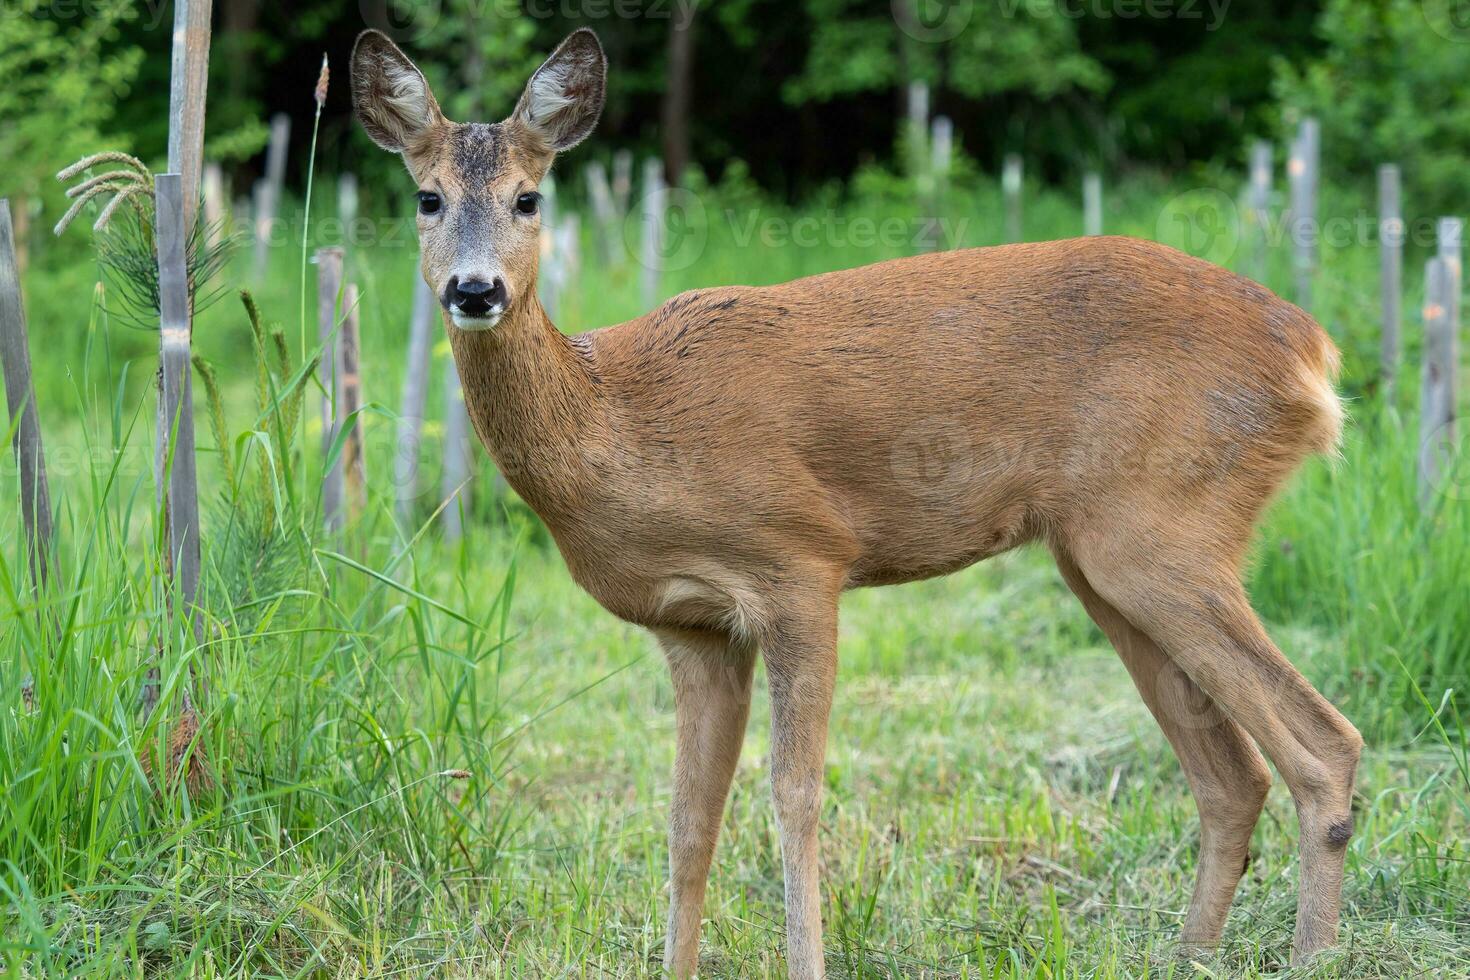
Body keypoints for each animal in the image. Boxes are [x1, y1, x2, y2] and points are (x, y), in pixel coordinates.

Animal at [349, 26, 1358, 975]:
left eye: (530, 198)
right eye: (426, 198)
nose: (474, 289)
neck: (618, 420)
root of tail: (1312, 351)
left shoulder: (799, 561)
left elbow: (794, 797)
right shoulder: (691, 627)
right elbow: (687, 821)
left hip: (1163, 530)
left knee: (1323, 747)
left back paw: (1311, 957)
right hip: (1100, 559)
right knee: (1232, 776)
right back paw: (1191, 957)